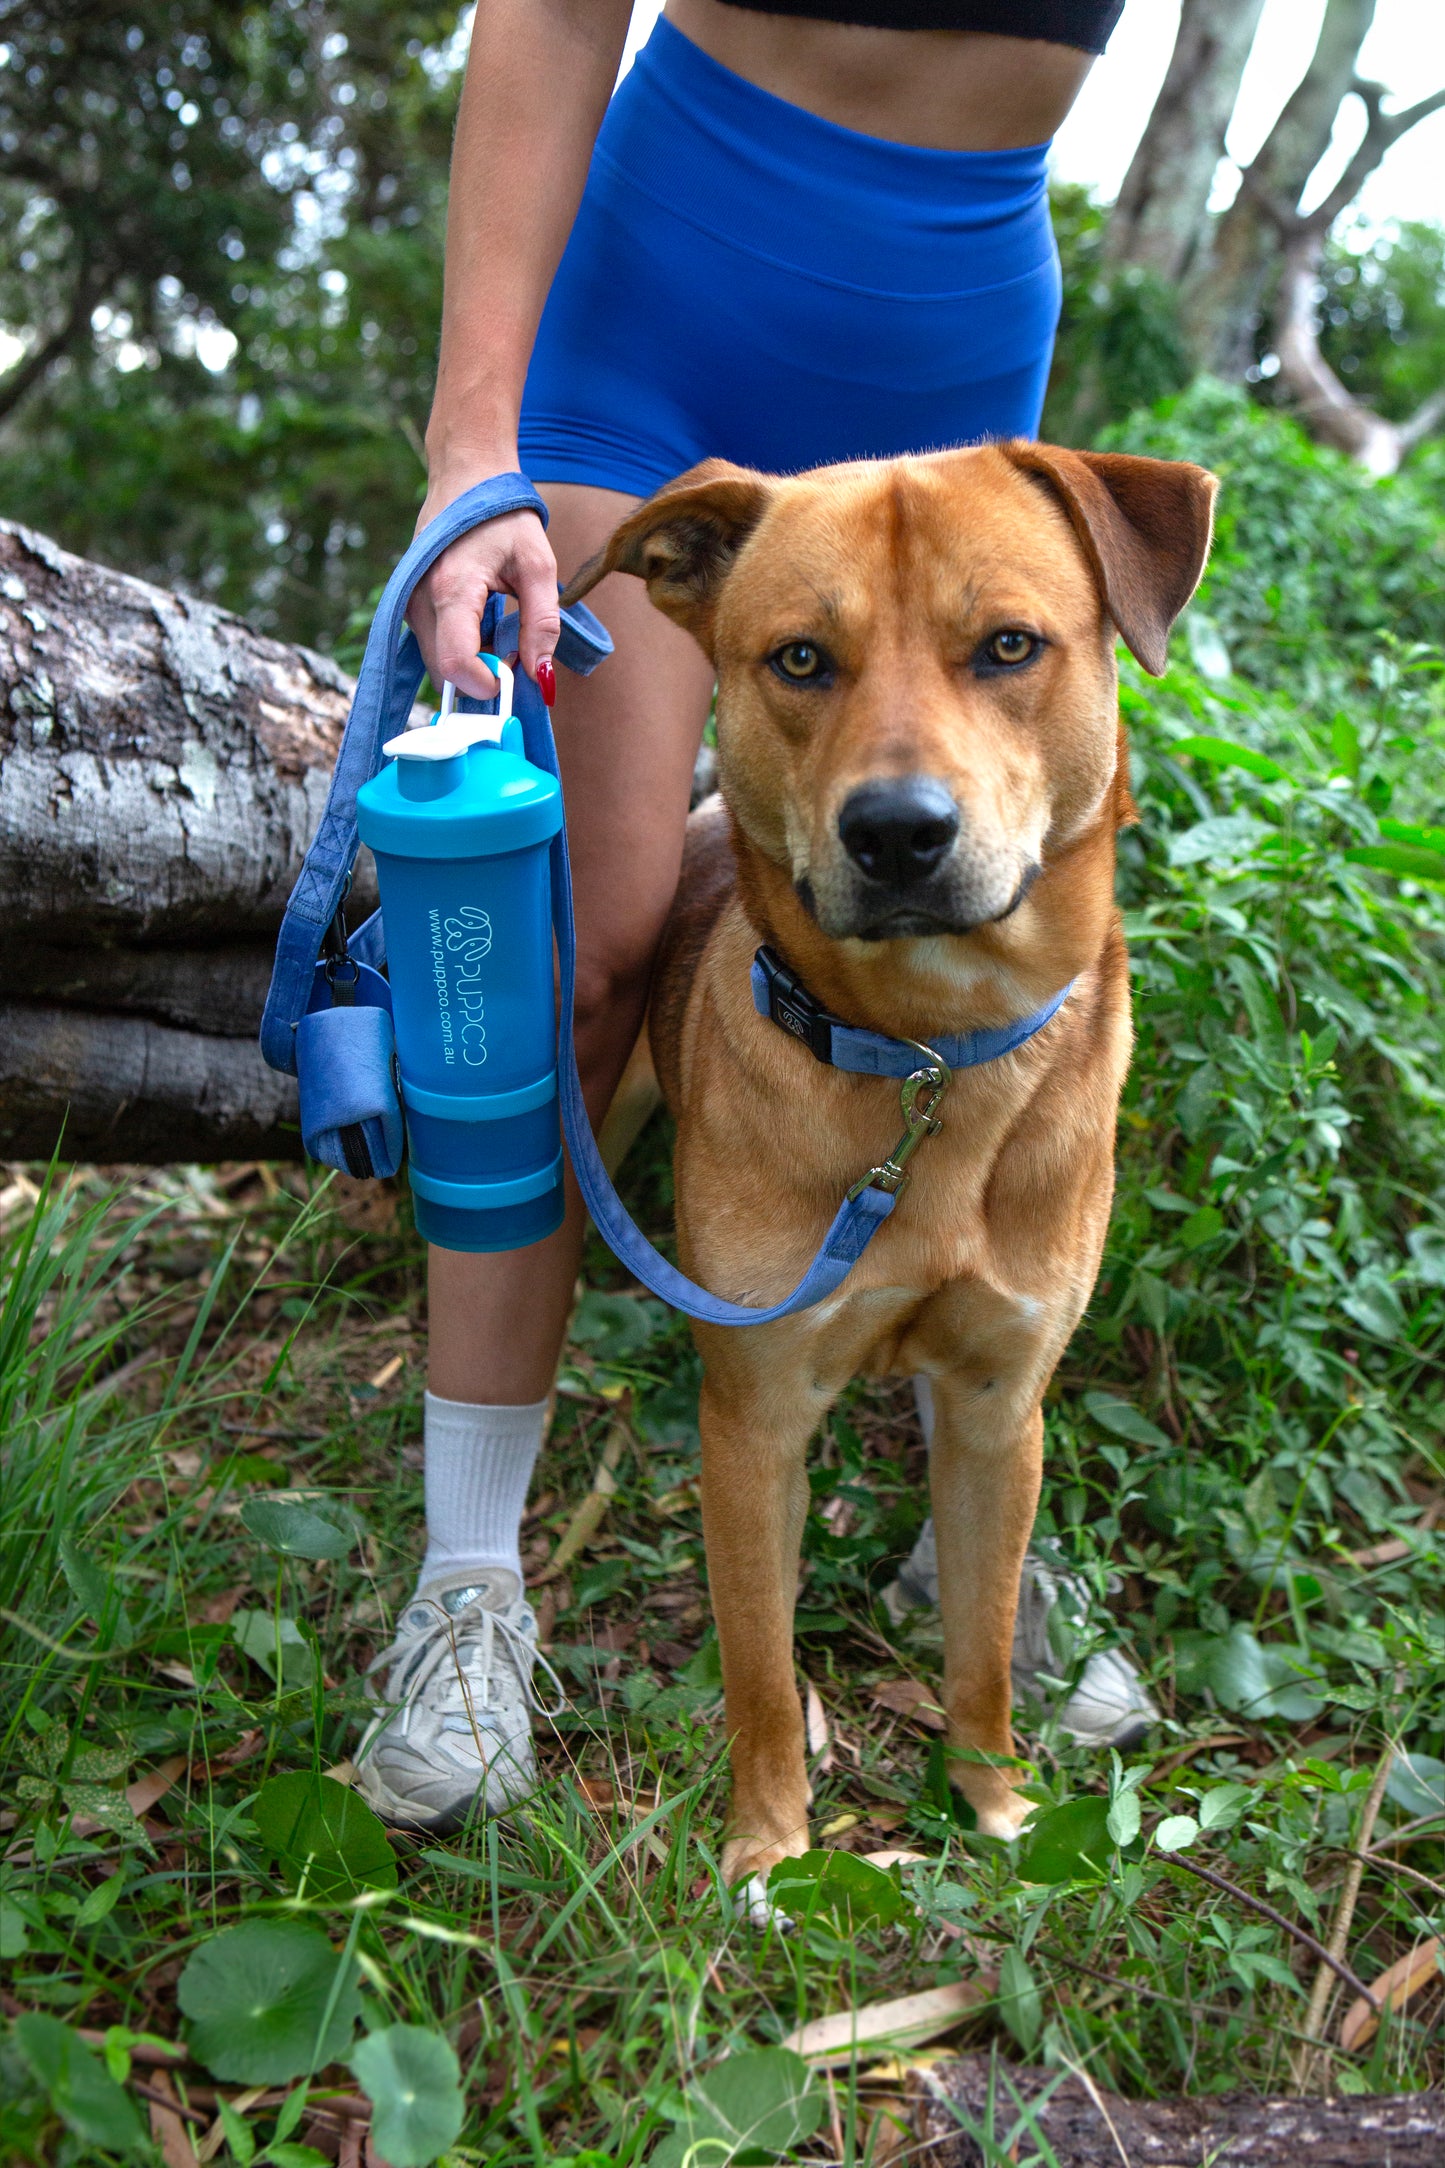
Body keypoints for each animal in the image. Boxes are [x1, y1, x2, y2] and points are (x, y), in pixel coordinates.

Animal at [558, 440, 1213, 1881]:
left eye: (1008, 645)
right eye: (799, 659)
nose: (898, 832)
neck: (928, 1057)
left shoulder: (996, 1407)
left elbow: (980, 1645)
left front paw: (995, 1805)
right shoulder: (753, 1423)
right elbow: (759, 1669)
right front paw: (769, 1848)